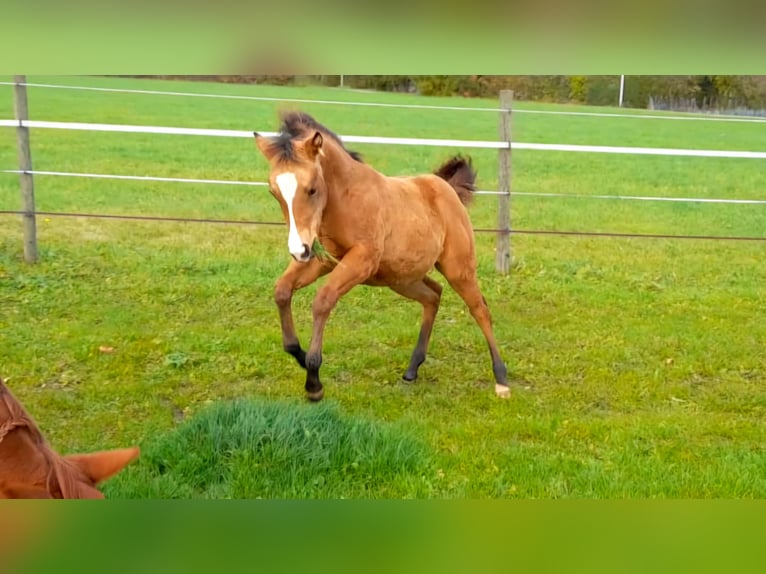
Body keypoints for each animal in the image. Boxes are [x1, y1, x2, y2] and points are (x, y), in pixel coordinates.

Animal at [253, 111, 509, 402]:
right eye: (273, 192)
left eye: (312, 189)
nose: (298, 250)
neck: (346, 199)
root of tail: (445, 187)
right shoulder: (324, 259)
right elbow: (282, 290)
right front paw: (298, 353)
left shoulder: (362, 260)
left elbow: (322, 300)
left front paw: (314, 381)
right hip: (401, 278)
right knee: (434, 295)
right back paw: (412, 370)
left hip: (458, 268)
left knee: (480, 310)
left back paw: (501, 380)